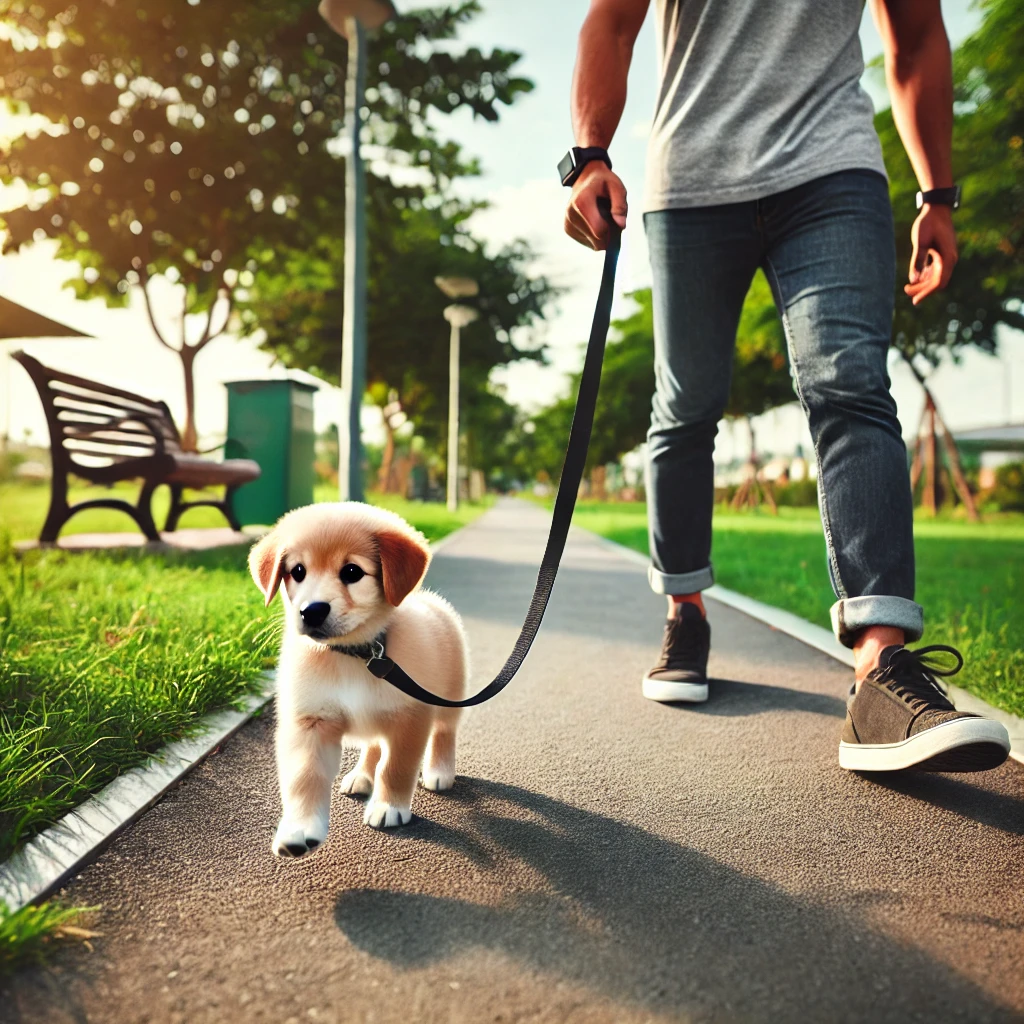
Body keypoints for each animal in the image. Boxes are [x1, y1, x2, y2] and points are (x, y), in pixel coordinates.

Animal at [249, 501, 468, 856]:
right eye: (298, 571)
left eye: (352, 572)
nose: (311, 611)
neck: (355, 655)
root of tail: (432, 601)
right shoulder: (310, 720)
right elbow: (304, 776)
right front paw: (299, 829)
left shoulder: (411, 715)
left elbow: (396, 767)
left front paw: (389, 806)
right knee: (374, 744)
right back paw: (362, 776)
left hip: (450, 695)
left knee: (444, 732)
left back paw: (439, 770)